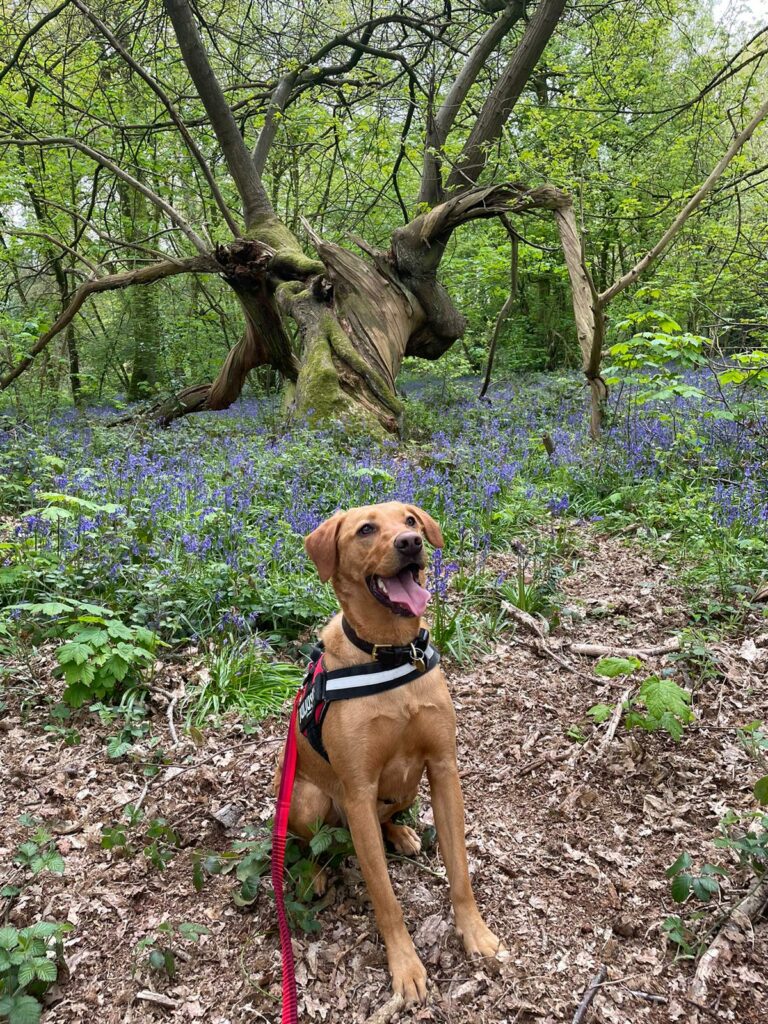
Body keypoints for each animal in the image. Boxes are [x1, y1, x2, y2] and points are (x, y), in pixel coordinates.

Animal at [280, 499, 507, 1003]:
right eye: (365, 530)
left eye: (410, 521)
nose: (411, 543)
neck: (392, 653)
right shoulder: (358, 792)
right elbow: (386, 899)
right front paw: (405, 967)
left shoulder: (443, 769)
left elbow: (460, 870)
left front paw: (476, 933)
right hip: (309, 800)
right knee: (308, 845)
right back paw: (313, 874)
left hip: (406, 788)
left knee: (389, 817)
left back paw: (401, 834)